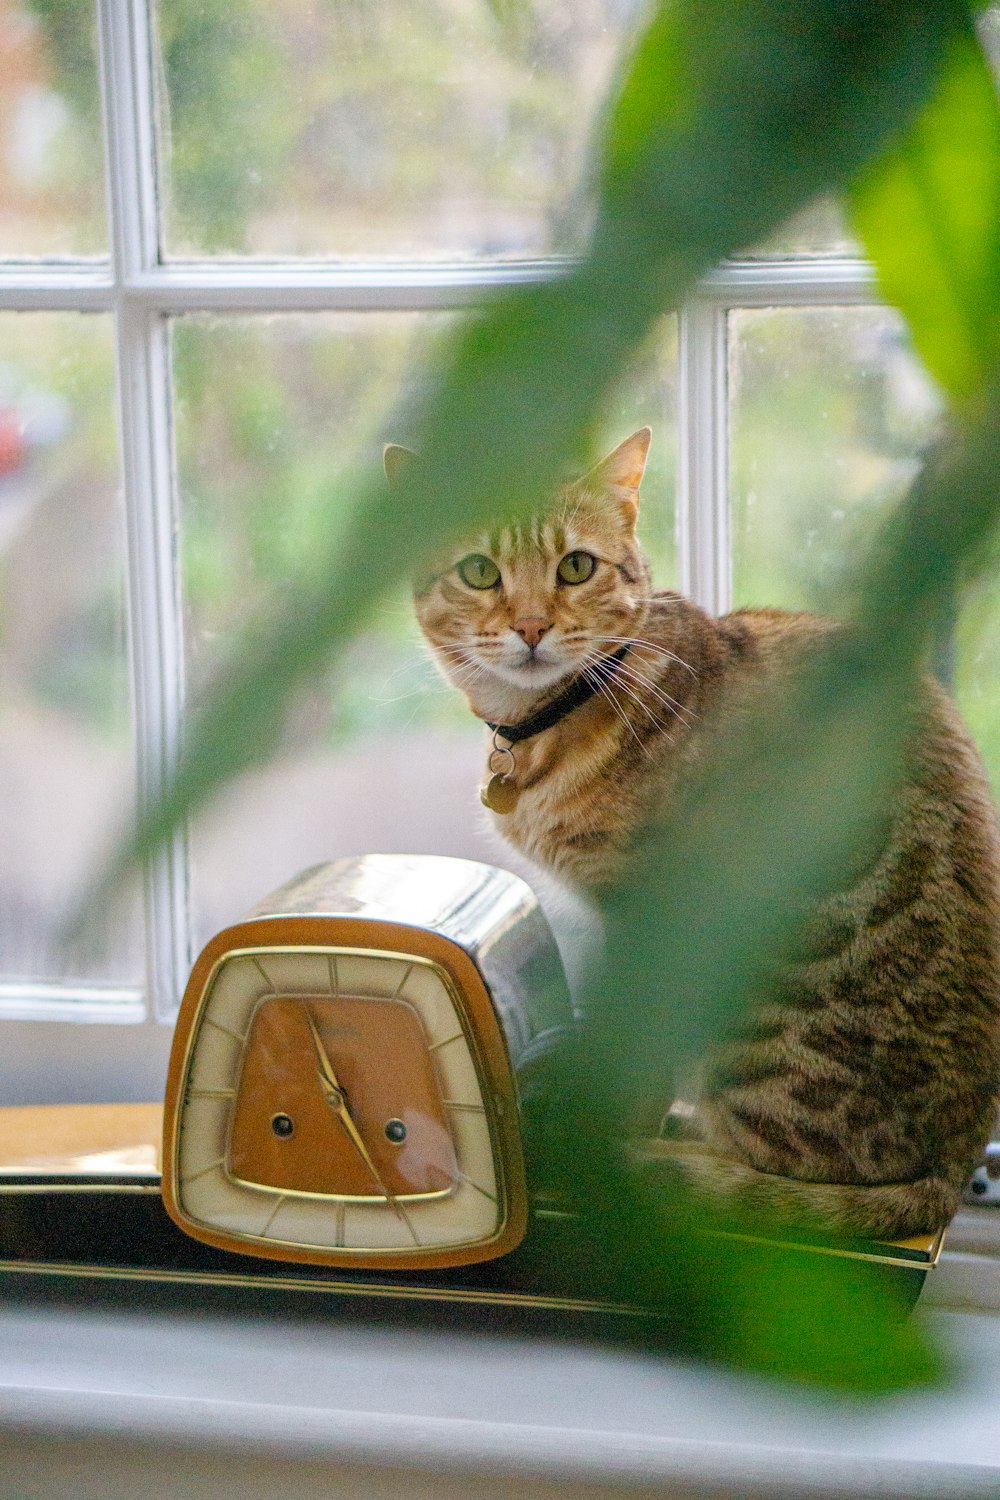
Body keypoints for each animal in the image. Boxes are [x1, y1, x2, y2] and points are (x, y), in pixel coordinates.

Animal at [389, 429, 1000, 1236]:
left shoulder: (649, 912)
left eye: (575, 566)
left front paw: (614, 1139)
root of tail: (957, 1161)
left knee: (791, 1165)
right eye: (479, 572)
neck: (556, 719)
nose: (530, 628)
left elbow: (641, 1060)